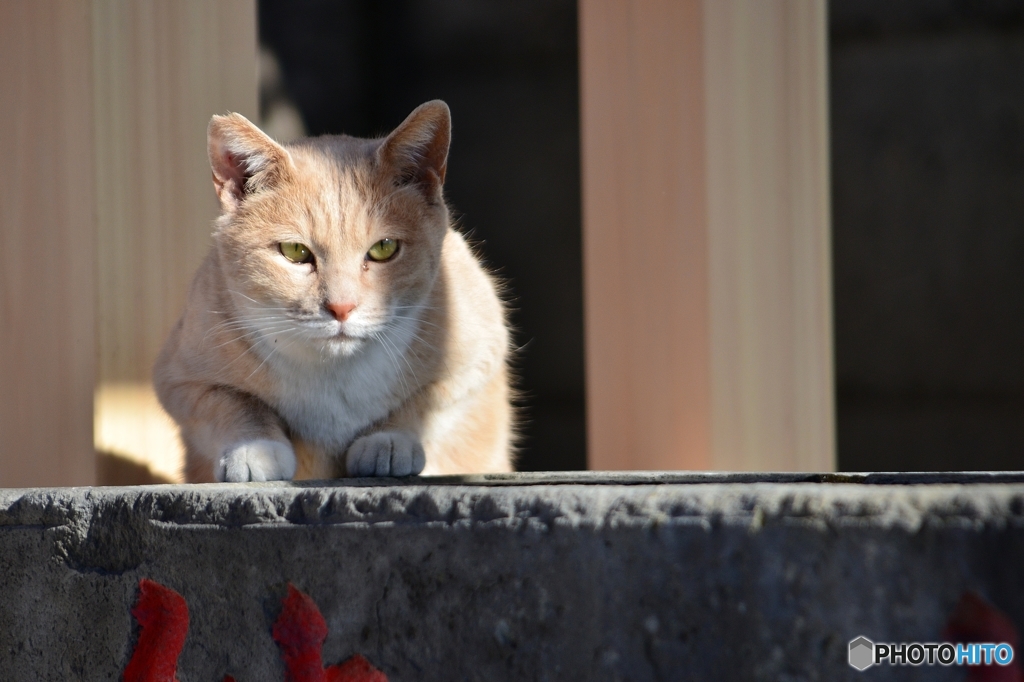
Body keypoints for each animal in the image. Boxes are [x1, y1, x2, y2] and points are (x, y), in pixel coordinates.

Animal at [152, 102, 516, 483]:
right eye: (295, 251)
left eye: (384, 248)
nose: (342, 307)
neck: (335, 375)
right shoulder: (180, 379)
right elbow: (237, 403)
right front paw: (255, 448)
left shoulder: (478, 356)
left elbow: (422, 404)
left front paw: (388, 441)